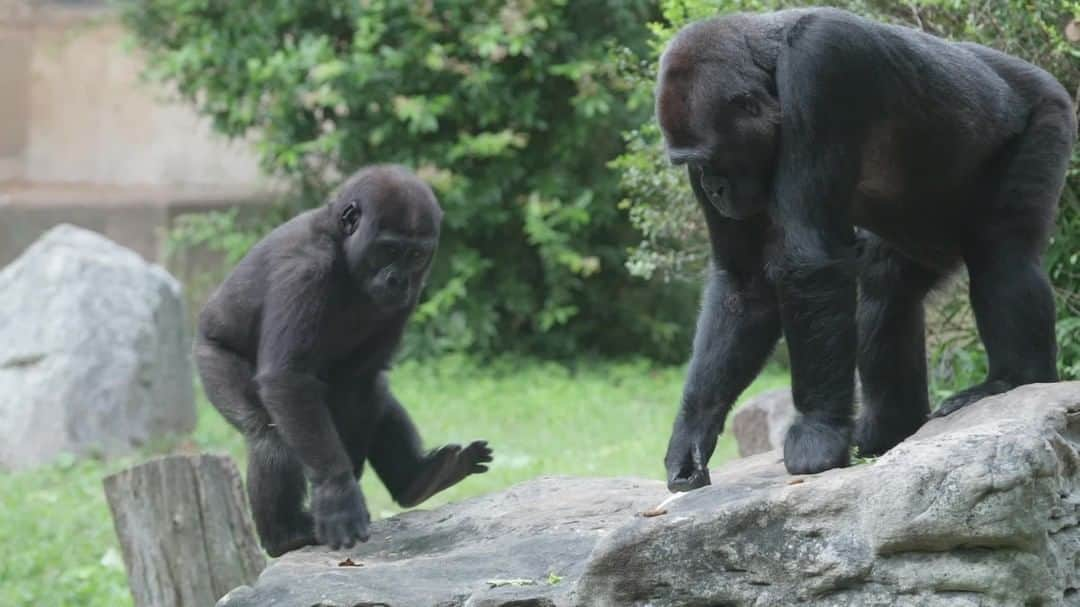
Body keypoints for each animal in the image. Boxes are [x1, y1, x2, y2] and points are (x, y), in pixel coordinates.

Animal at [196, 164, 492, 552]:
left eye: (415, 256)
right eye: (388, 249)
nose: (398, 281)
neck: (339, 242)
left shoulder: (413, 290)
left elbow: (361, 379)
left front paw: (348, 480)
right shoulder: (305, 270)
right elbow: (288, 379)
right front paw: (338, 492)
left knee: (375, 390)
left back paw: (418, 479)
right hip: (209, 357)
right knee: (266, 433)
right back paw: (286, 534)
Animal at [652, 7, 1075, 488]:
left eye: (713, 161)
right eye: (695, 167)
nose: (714, 189)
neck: (771, 67)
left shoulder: (822, 65)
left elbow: (808, 260)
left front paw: (817, 432)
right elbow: (744, 285)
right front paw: (692, 434)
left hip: (1048, 111)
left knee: (1002, 254)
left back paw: (1013, 380)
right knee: (886, 284)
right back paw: (892, 424)